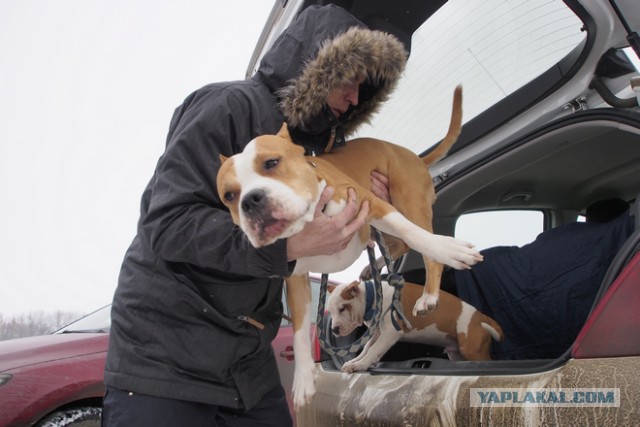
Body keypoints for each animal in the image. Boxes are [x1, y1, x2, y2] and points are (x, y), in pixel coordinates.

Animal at [215, 86, 480, 408]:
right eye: (229, 196)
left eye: (271, 163)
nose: (251, 201)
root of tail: (412, 155)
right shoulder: (296, 279)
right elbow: (300, 332)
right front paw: (303, 380)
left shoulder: (372, 203)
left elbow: (417, 236)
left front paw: (452, 251)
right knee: (399, 243)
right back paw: (373, 267)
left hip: (405, 198)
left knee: (417, 236)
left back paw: (429, 293)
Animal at [328, 280, 502, 372]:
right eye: (330, 311)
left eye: (342, 308)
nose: (334, 330)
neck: (373, 298)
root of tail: (481, 317)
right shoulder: (377, 333)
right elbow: (367, 348)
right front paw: (355, 361)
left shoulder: (390, 333)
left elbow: (374, 350)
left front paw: (360, 365)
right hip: (456, 352)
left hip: (472, 349)